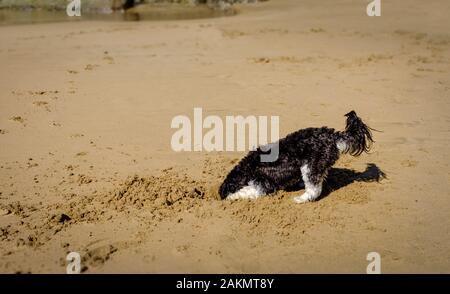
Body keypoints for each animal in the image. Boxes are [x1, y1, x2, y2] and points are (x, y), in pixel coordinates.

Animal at [220, 110, 374, 202]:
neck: (247, 169)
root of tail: (332, 136)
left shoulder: (262, 184)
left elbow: (247, 191)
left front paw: (234, 196)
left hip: (310, 165)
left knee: (314, 189)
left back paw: (301, 199)